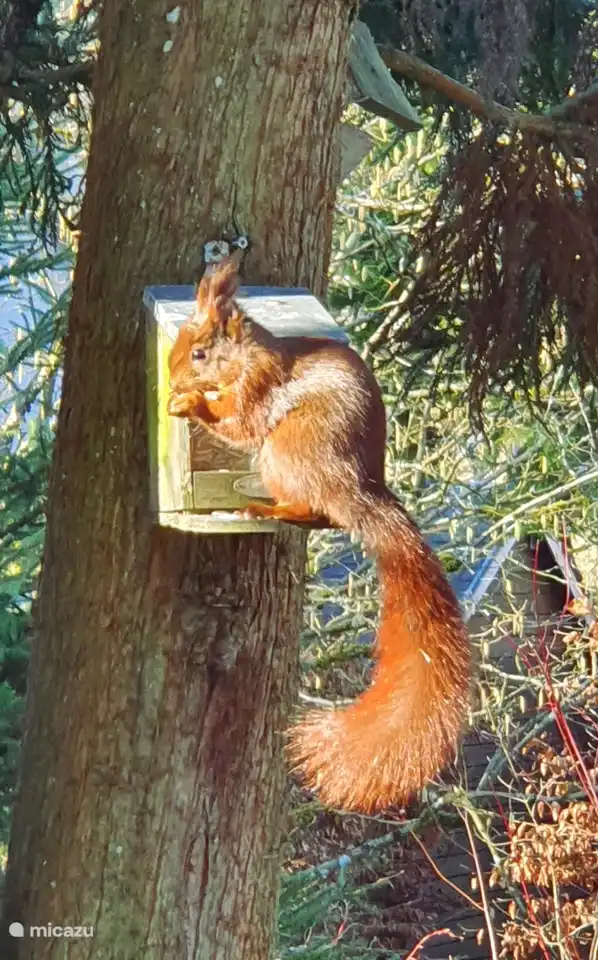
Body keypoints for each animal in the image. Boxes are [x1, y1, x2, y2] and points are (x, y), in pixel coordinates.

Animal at [167, 257, 471, 813]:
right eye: (176, 339)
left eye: (199, 352)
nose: (173, 375)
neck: (246, 357)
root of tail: (358, 490)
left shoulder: (259, 388)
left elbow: (238, 423)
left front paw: (191, 402)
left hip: (286, 451)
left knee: (314, 510)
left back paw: (264, 506)